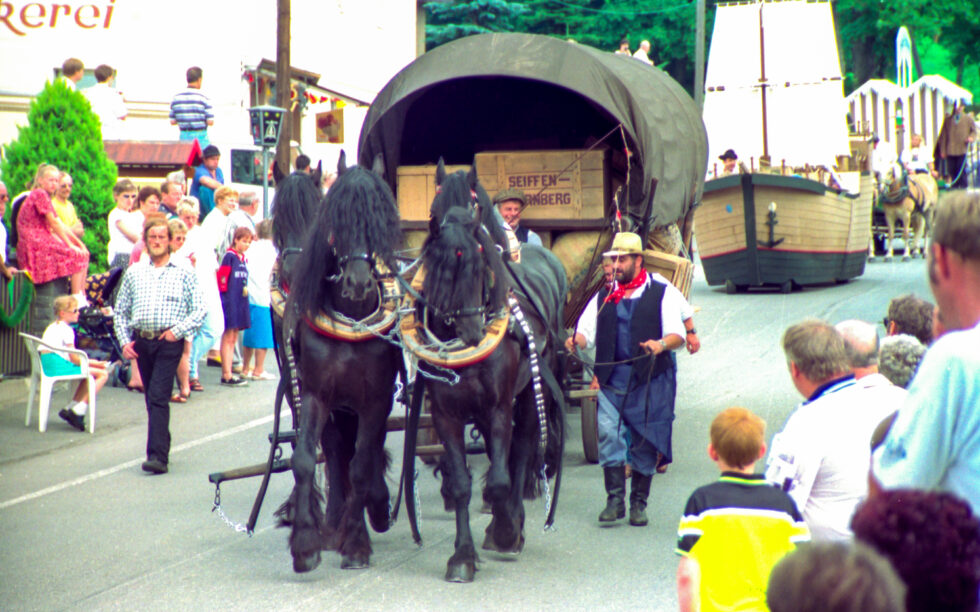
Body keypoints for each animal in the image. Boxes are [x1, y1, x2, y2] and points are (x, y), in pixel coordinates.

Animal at [276, 155, 402, 572]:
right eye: (337, 219)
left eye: (380, 218)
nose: (358, 283)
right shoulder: (315, 392)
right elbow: (304, 458)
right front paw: (305, 543)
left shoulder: (377, 398)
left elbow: (362, 463)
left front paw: (357, 543)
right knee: (334, 450)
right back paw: (334, 521)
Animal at [416, 164, 568, 584]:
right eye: (433, 210)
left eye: (473, 206)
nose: (469, 331)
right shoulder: (446, 414)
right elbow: (461, 483)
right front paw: (462, 556)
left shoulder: (501, 406)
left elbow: (502, 477)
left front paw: (505, 531)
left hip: (532, 392)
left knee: (525, 444)